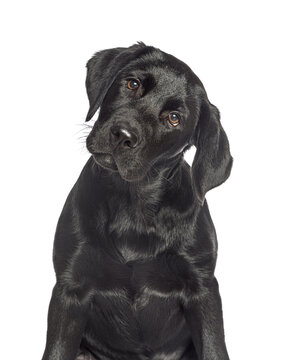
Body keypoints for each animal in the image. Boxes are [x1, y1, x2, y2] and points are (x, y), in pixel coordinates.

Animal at [41, 43, 232, 360]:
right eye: (132, 84)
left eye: (174, 118)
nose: (122, 135)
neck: (134, 205)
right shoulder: (70, 288)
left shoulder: (203, 288)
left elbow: (214, 349)